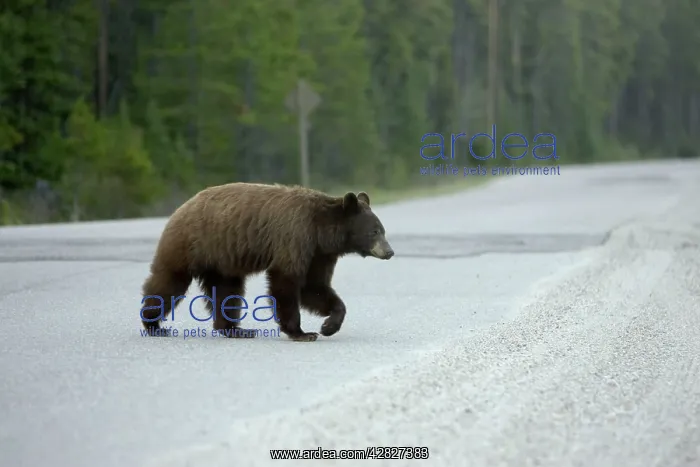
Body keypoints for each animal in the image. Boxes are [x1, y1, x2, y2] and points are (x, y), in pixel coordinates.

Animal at [139, 182, 394, 342]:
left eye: (383, 230)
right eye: (374, 231)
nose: (390, 251)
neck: (322, 231)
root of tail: (181, 208)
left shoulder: (319, 254)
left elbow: (315, 287)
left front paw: (329, 325)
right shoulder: (296, 236)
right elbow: (287, 280)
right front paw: (302, 333)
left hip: (222, 262)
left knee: (226, 291)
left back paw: (235, 330)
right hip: (190, 245)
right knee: (170, 281)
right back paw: (153, 323)